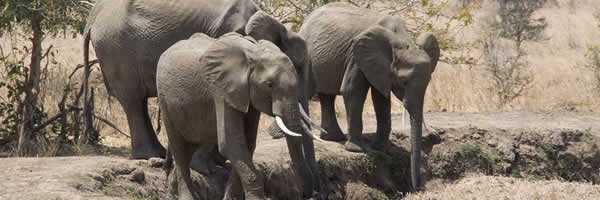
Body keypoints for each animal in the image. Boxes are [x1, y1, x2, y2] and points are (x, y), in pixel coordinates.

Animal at [83, 0, 314, 161]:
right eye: (298, 68)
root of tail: (92, 17)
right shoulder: (225, 36)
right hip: (115, 47)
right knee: (132, 100)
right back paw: (150, 156)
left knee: (136, 102)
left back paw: (158, 154)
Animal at [157, 32, 322, 200]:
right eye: (269, 85)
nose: (310, 193)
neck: (253, 53)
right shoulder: (221, 91)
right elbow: (231, 143)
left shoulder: (246, 95)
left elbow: (246, 143)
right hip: (164, 100)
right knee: (179, 149)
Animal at [298, 2, 438, 191]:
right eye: (403, 82)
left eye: (428, 81)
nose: (417, 188)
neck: (400, 39)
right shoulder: (356, 55)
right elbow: (352, 90)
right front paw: (357, 150)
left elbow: (381, 99)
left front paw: (382, 150)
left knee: (327, 96)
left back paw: (334, 138)